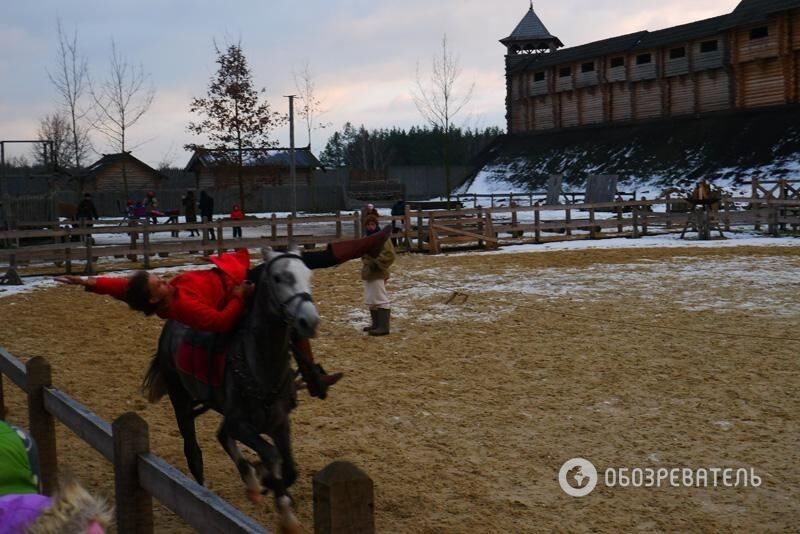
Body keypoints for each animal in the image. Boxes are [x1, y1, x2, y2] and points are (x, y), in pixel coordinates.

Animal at [144, 246, 318, 532]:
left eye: (308, 275)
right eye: (278, 278)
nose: (310, 321)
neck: (260, 365)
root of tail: (170, 328)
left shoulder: (280, 423)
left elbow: (289, 468)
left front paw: (269, 485)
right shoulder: (241, 424)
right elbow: (271, 455)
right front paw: (285, 513)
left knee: (222, 436)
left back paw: (252, 482)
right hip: (180, 399)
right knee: (194, 451)